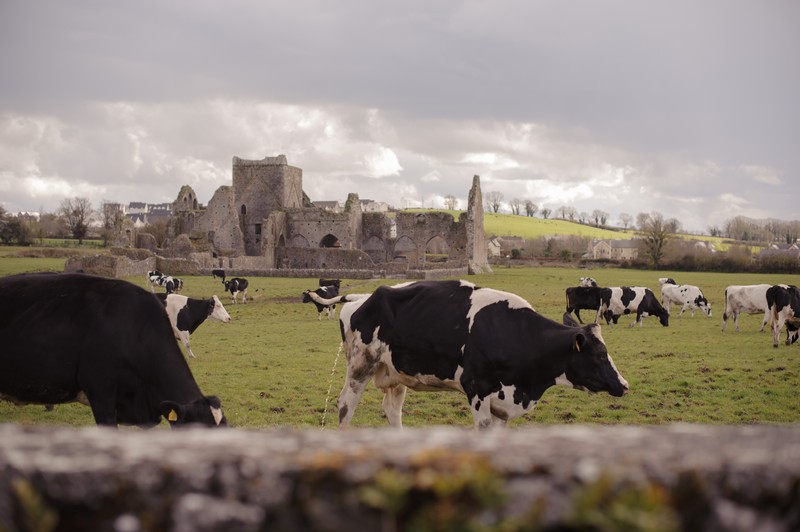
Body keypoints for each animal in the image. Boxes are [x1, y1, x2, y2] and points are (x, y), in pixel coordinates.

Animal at [328, 280, 628, 430]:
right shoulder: (478, 392)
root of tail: (361, 297)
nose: (624, 385)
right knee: (345, 406)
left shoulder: (503, 403)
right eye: (601, 355)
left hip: (396, 373)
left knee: (392, 411)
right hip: (360, 365)